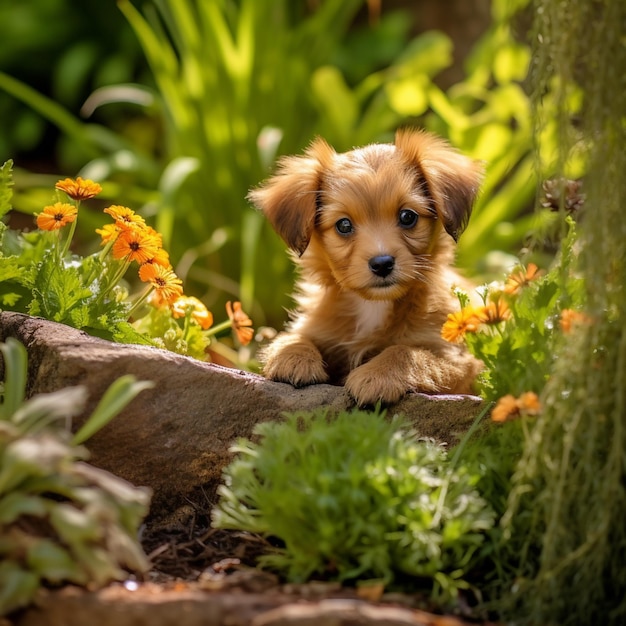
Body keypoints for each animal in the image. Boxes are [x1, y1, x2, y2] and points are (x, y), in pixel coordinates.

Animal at [246, 129, 480, 408]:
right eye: (344, 225)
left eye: (408, 216)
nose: (382, 263)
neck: (372, 306)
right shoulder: (317, 326)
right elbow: (293, 336)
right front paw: (292, 356)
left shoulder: (457, 357)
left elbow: (405, 351)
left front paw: (377, 375)